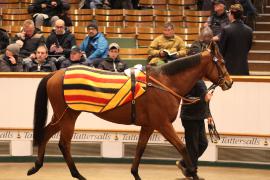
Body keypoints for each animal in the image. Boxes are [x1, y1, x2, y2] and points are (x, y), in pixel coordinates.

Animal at [27, 42, 233, 180]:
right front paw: (192, 172)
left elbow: (140, 149)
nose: (229, 82)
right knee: (64, 143)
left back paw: (36, 166)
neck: (164, 83)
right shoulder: (163, 124)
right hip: (68, 116)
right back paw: (77, 174)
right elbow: (182, 148)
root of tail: (56, 73)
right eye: (222, 62)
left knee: (46, 133)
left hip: (62, 115)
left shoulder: (149, 125)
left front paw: (135, 173)